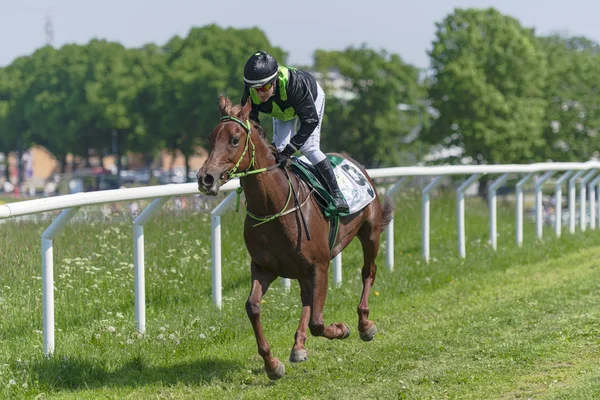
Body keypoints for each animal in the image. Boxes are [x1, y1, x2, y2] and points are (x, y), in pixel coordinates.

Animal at [196, 95, 394, 380]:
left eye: (234, 139)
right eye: (211, 137)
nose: (205, 178)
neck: (273, 206)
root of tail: (354, 163)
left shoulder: (320, 265)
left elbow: (318, 322)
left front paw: (341, 329)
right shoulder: (264, 267)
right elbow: (253, 307)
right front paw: (272, 364)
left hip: (370, 233)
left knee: (368, 272)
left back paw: (364, 324)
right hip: (301, 268)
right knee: (306, 298)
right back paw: (298, 345)